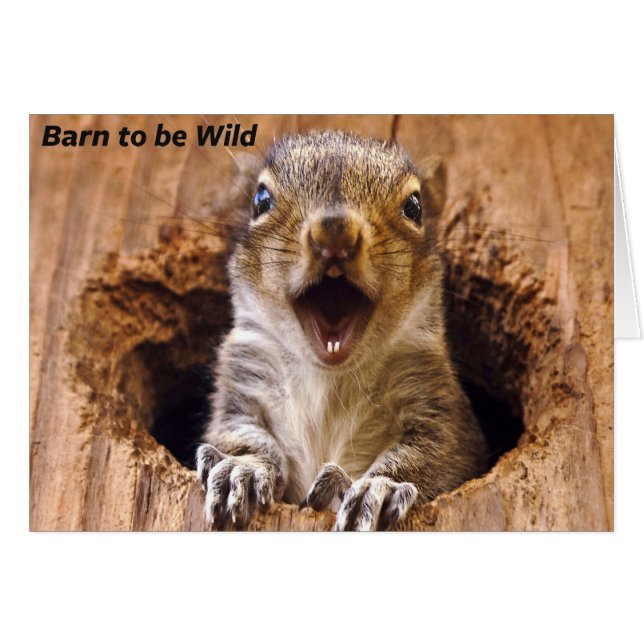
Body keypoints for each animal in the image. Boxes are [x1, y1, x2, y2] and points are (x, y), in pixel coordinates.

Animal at [195, 130, 489, 531]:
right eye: (260, 200)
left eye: (415, 207)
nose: (334, 231)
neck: (329, 377)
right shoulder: (241, 382)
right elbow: (239, 434)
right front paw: (241, 469)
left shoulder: (436, 403)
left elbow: (435, 454)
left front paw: (380, 487)